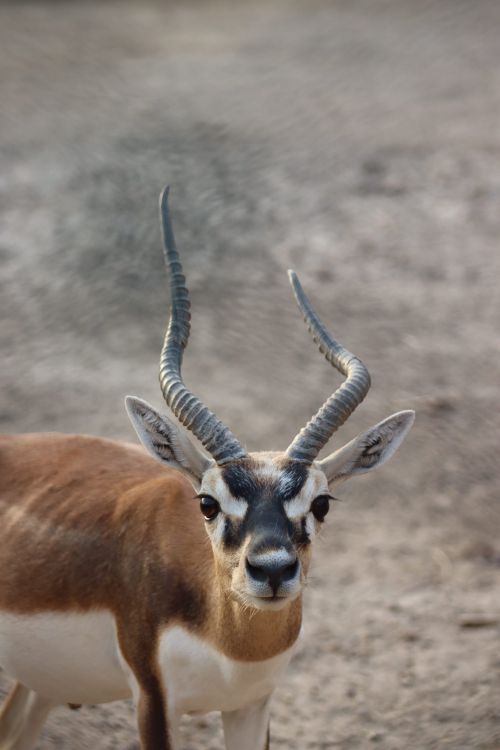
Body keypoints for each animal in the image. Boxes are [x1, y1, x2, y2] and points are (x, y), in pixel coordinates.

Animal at [0, 188, 414, 750]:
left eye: (322, 503)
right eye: (207, 502)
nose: (272, 571)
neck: (227, 642)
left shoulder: (252, 704)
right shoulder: (153, 701)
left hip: (42, 684)